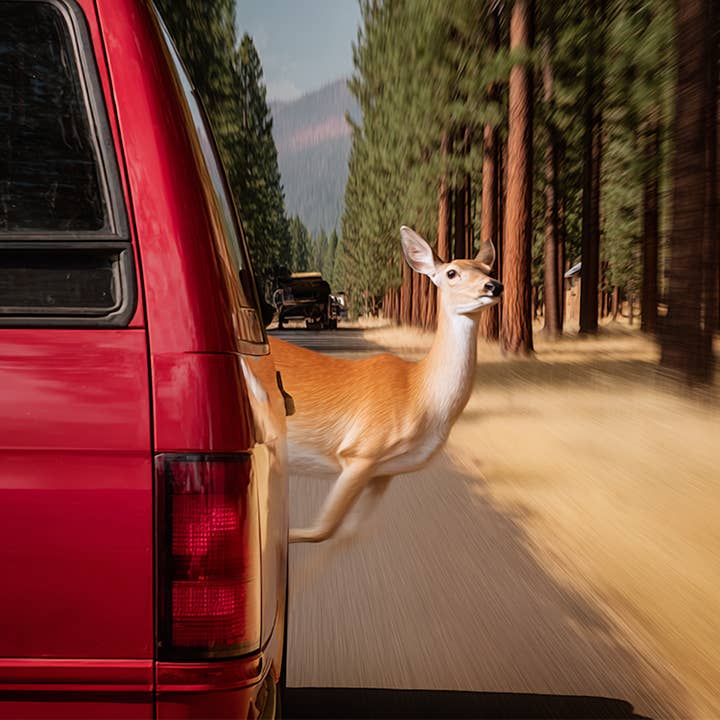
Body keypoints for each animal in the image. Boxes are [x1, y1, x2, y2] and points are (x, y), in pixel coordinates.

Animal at [269, 226, 503, 543]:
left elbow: (348, 533)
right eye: (452, 272)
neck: (418, 395)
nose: (495, 286)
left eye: (489, 268)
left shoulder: (382, 471)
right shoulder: (361, 451)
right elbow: (319, 530)